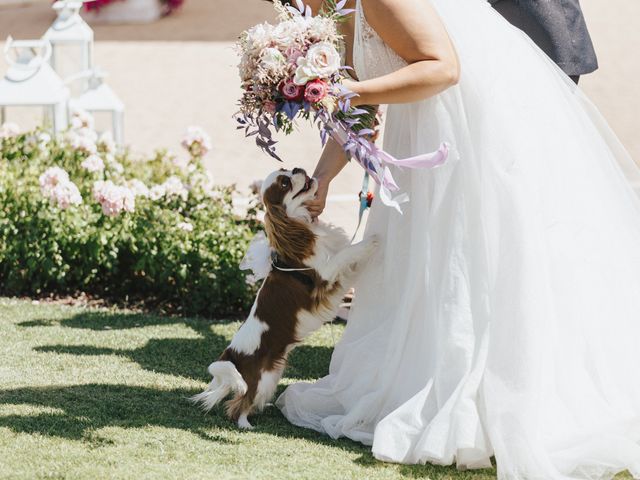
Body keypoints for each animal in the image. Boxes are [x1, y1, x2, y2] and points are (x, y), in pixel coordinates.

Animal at [192, 168, 378, 428]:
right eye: (285, 183)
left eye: (288, 171)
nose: (299, 169)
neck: (298, 225)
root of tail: (231, 354)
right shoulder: (326, 275)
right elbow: (347, 253)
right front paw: (370, 241)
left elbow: (349, 264)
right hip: (259, 379)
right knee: (239, 403)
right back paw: (245, 424)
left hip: (272, 375)